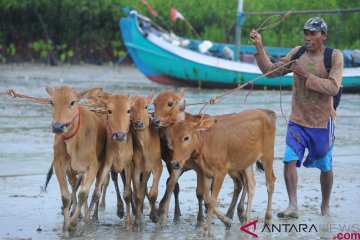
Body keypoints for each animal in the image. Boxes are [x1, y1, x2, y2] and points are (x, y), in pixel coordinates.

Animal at [45, 85, 106, 237]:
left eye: (72, 102)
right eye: (51, 102)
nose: (58, 127)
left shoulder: (93, 167)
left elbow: (84, 193)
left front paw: (72, 226)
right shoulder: (59, 165)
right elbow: (66, 197)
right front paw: (65, 229)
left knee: (96, 193)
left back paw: (88, 220)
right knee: (74, 187)